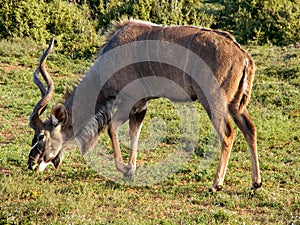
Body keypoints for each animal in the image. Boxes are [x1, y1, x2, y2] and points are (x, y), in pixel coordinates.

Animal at [28, 19, 262, 192]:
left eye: (41, 136)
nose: (31, 163)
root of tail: (244, 57)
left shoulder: (129, 99)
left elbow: (112, 128)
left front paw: (124, 169)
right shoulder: (140, 105)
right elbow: (135, 132)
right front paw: (131, 169)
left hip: (213, 103)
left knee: (228, 133)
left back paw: (216, 185)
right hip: (236, 106)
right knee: (250, 129)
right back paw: (256, 183)